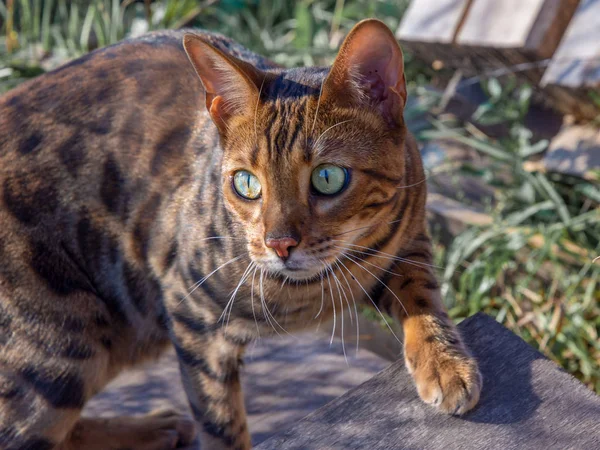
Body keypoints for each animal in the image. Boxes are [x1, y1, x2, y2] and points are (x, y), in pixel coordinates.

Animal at [0, 18, 482, 450]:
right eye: (247, 183)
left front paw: (444, 362)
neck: (313, 287)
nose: (279, 244)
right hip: (63, 346)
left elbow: (420, 291)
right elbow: (221, 423)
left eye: (328, 178)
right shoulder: (189, 313)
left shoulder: (410, 236)